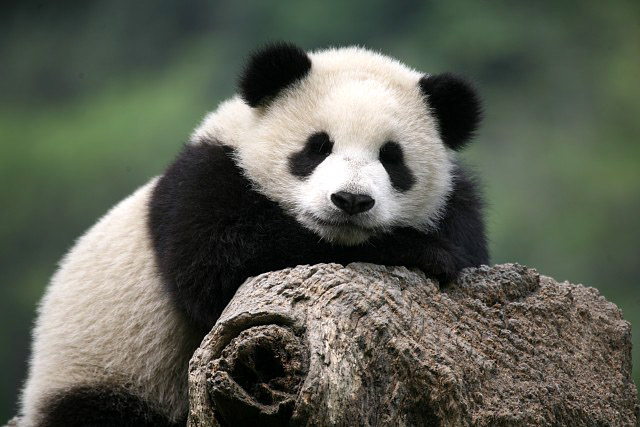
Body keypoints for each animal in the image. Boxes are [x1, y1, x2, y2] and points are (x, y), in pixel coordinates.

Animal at [19, 42, 488, 426]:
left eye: (392, 158)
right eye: (318, 147)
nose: (351, 201)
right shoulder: (206, 180)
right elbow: (222, 265)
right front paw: (423, 250)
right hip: (107, 370)